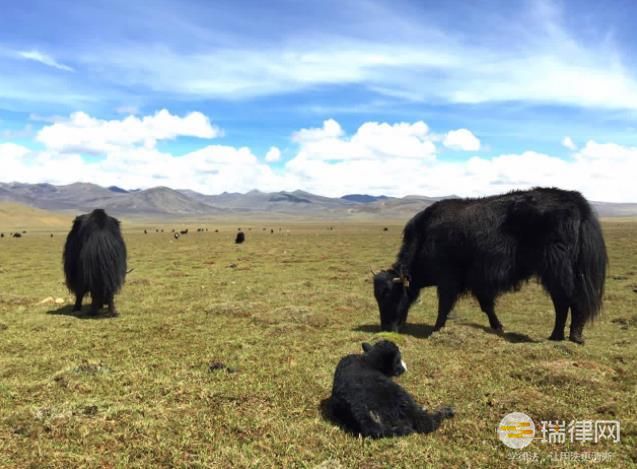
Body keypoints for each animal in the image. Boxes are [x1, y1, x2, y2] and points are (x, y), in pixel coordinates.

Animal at [372, 187, 608, 344]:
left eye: (392, 295)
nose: (386, 328)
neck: (424, 238)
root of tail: (577, 202)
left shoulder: (449, 279)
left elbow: (445, 304)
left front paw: (437, 328)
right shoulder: (479, 282)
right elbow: (487, 306)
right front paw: (498, 327)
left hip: (557, 271)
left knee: (566, 301)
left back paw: (561, 336)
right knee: (570, 301)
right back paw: (567, 336)